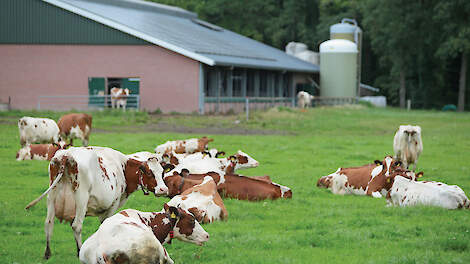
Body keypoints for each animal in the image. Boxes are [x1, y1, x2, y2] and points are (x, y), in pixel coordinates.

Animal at [24, 146, 169, 260]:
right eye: (149, 172)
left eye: (162, 172)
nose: (163, 189)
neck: (122, 166)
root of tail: (66, 155)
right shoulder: (113, 205)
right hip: (81, 198)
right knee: (77, 226)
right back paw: (79, 252)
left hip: (52, 196)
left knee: (49, 223)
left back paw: (47, 254)